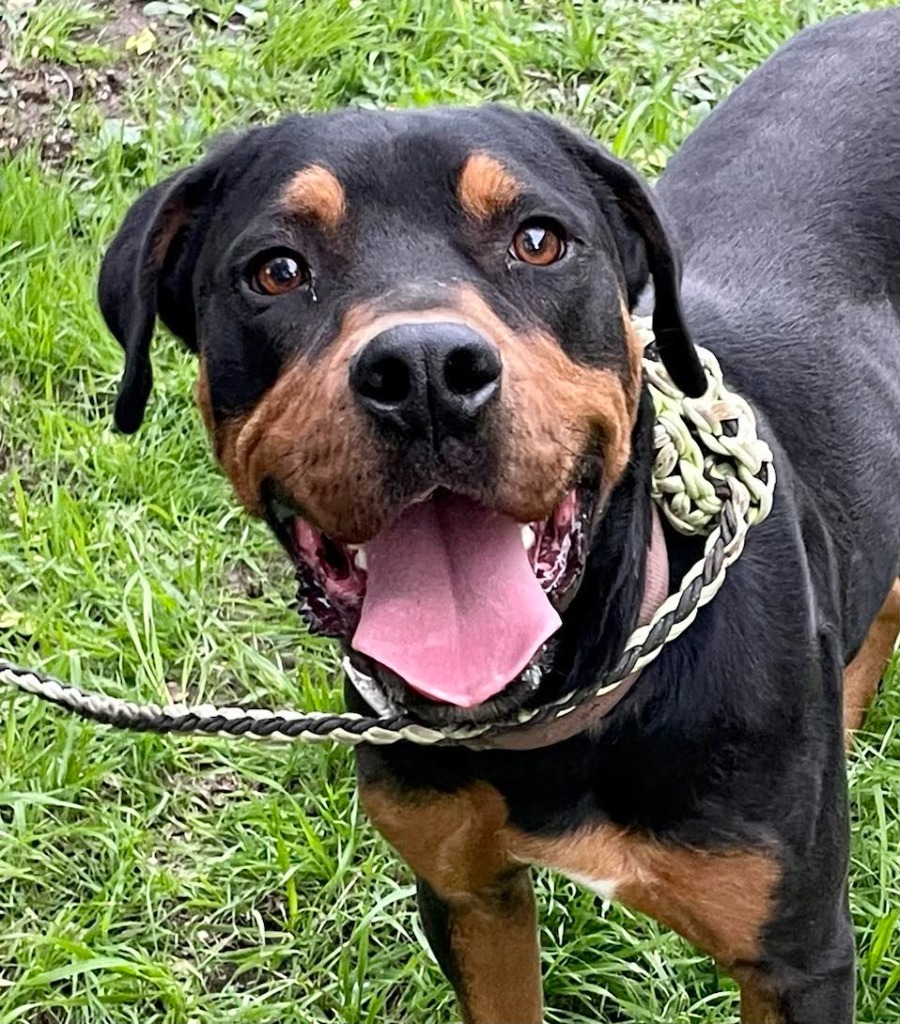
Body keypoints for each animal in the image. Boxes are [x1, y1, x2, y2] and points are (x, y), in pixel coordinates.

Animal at [96, 9, 900, 1024]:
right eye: (275, 270)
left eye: (539, 240)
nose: (424, 373)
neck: (563, 704)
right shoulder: (467, 892)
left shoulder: (797, 959)